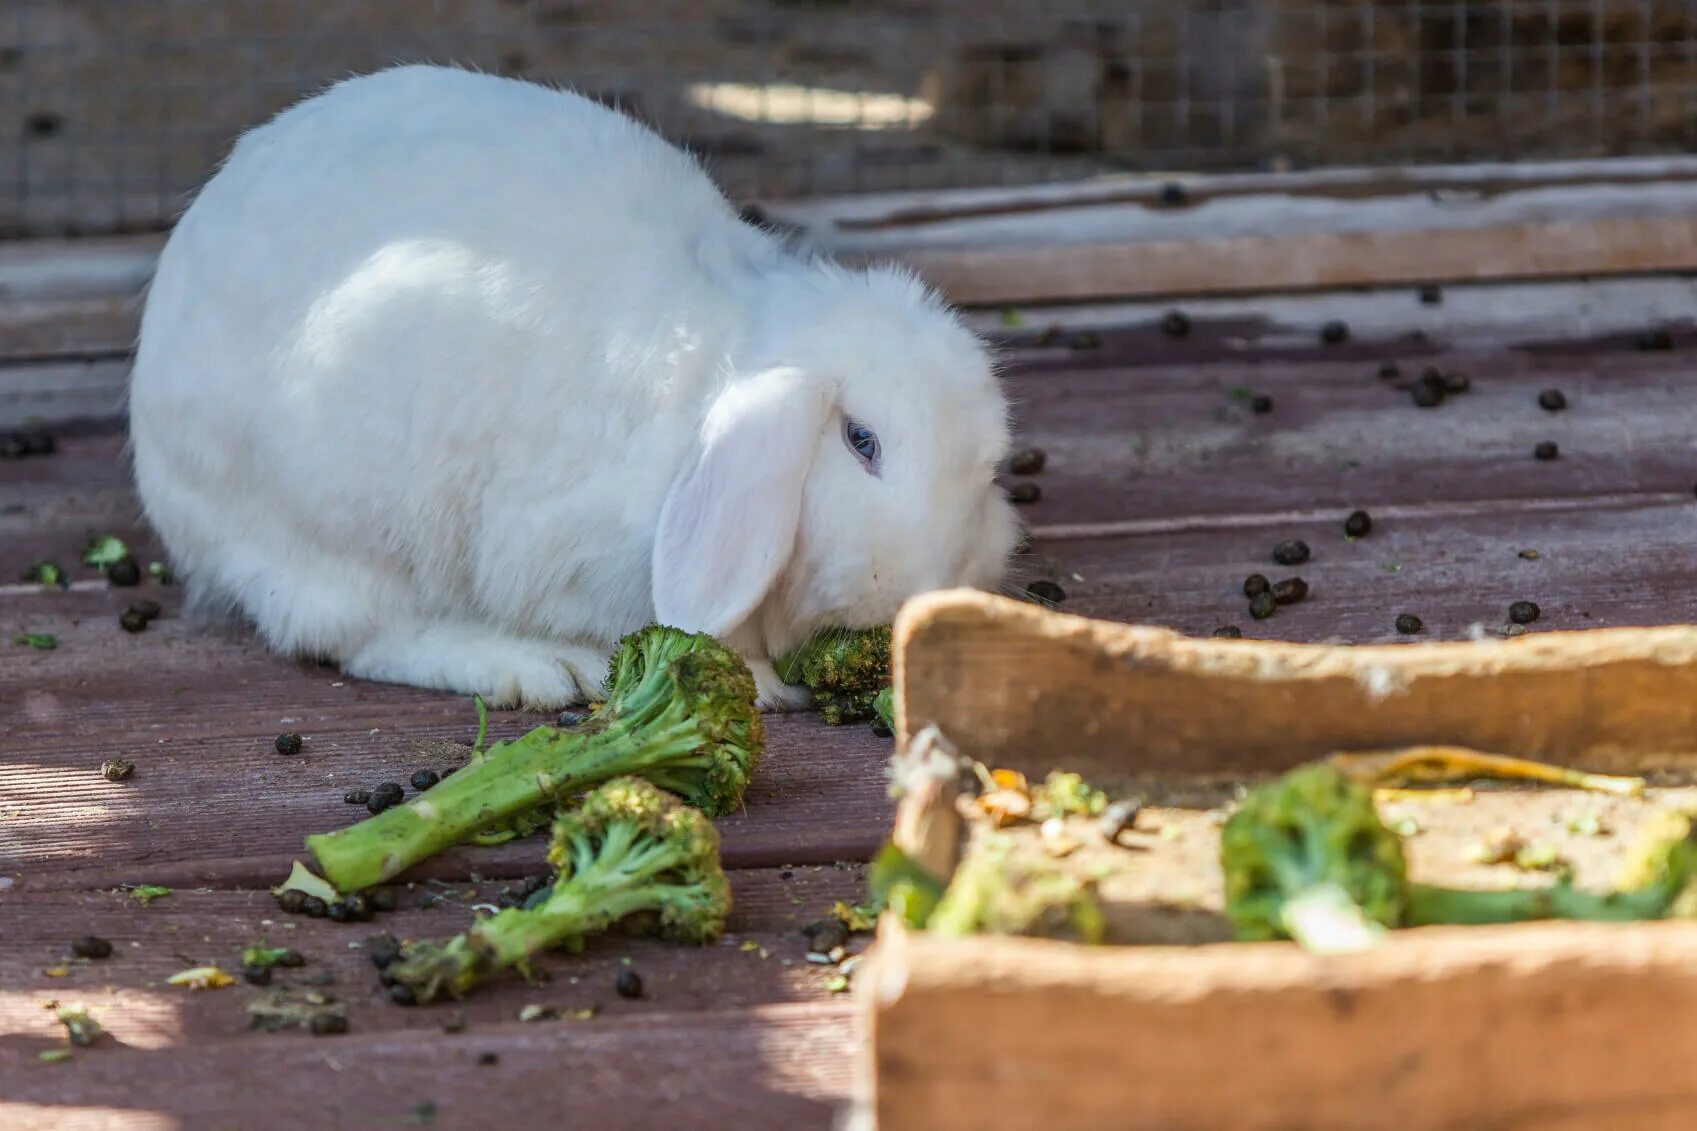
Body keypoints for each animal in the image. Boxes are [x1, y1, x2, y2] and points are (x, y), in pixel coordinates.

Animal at [128, 61, 1018, 706]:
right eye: (862, 441)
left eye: (986, 472)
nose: (925, 591)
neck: (710, 392)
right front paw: (764, 685)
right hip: (343, 517)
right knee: (356, 634)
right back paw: (534, 669)